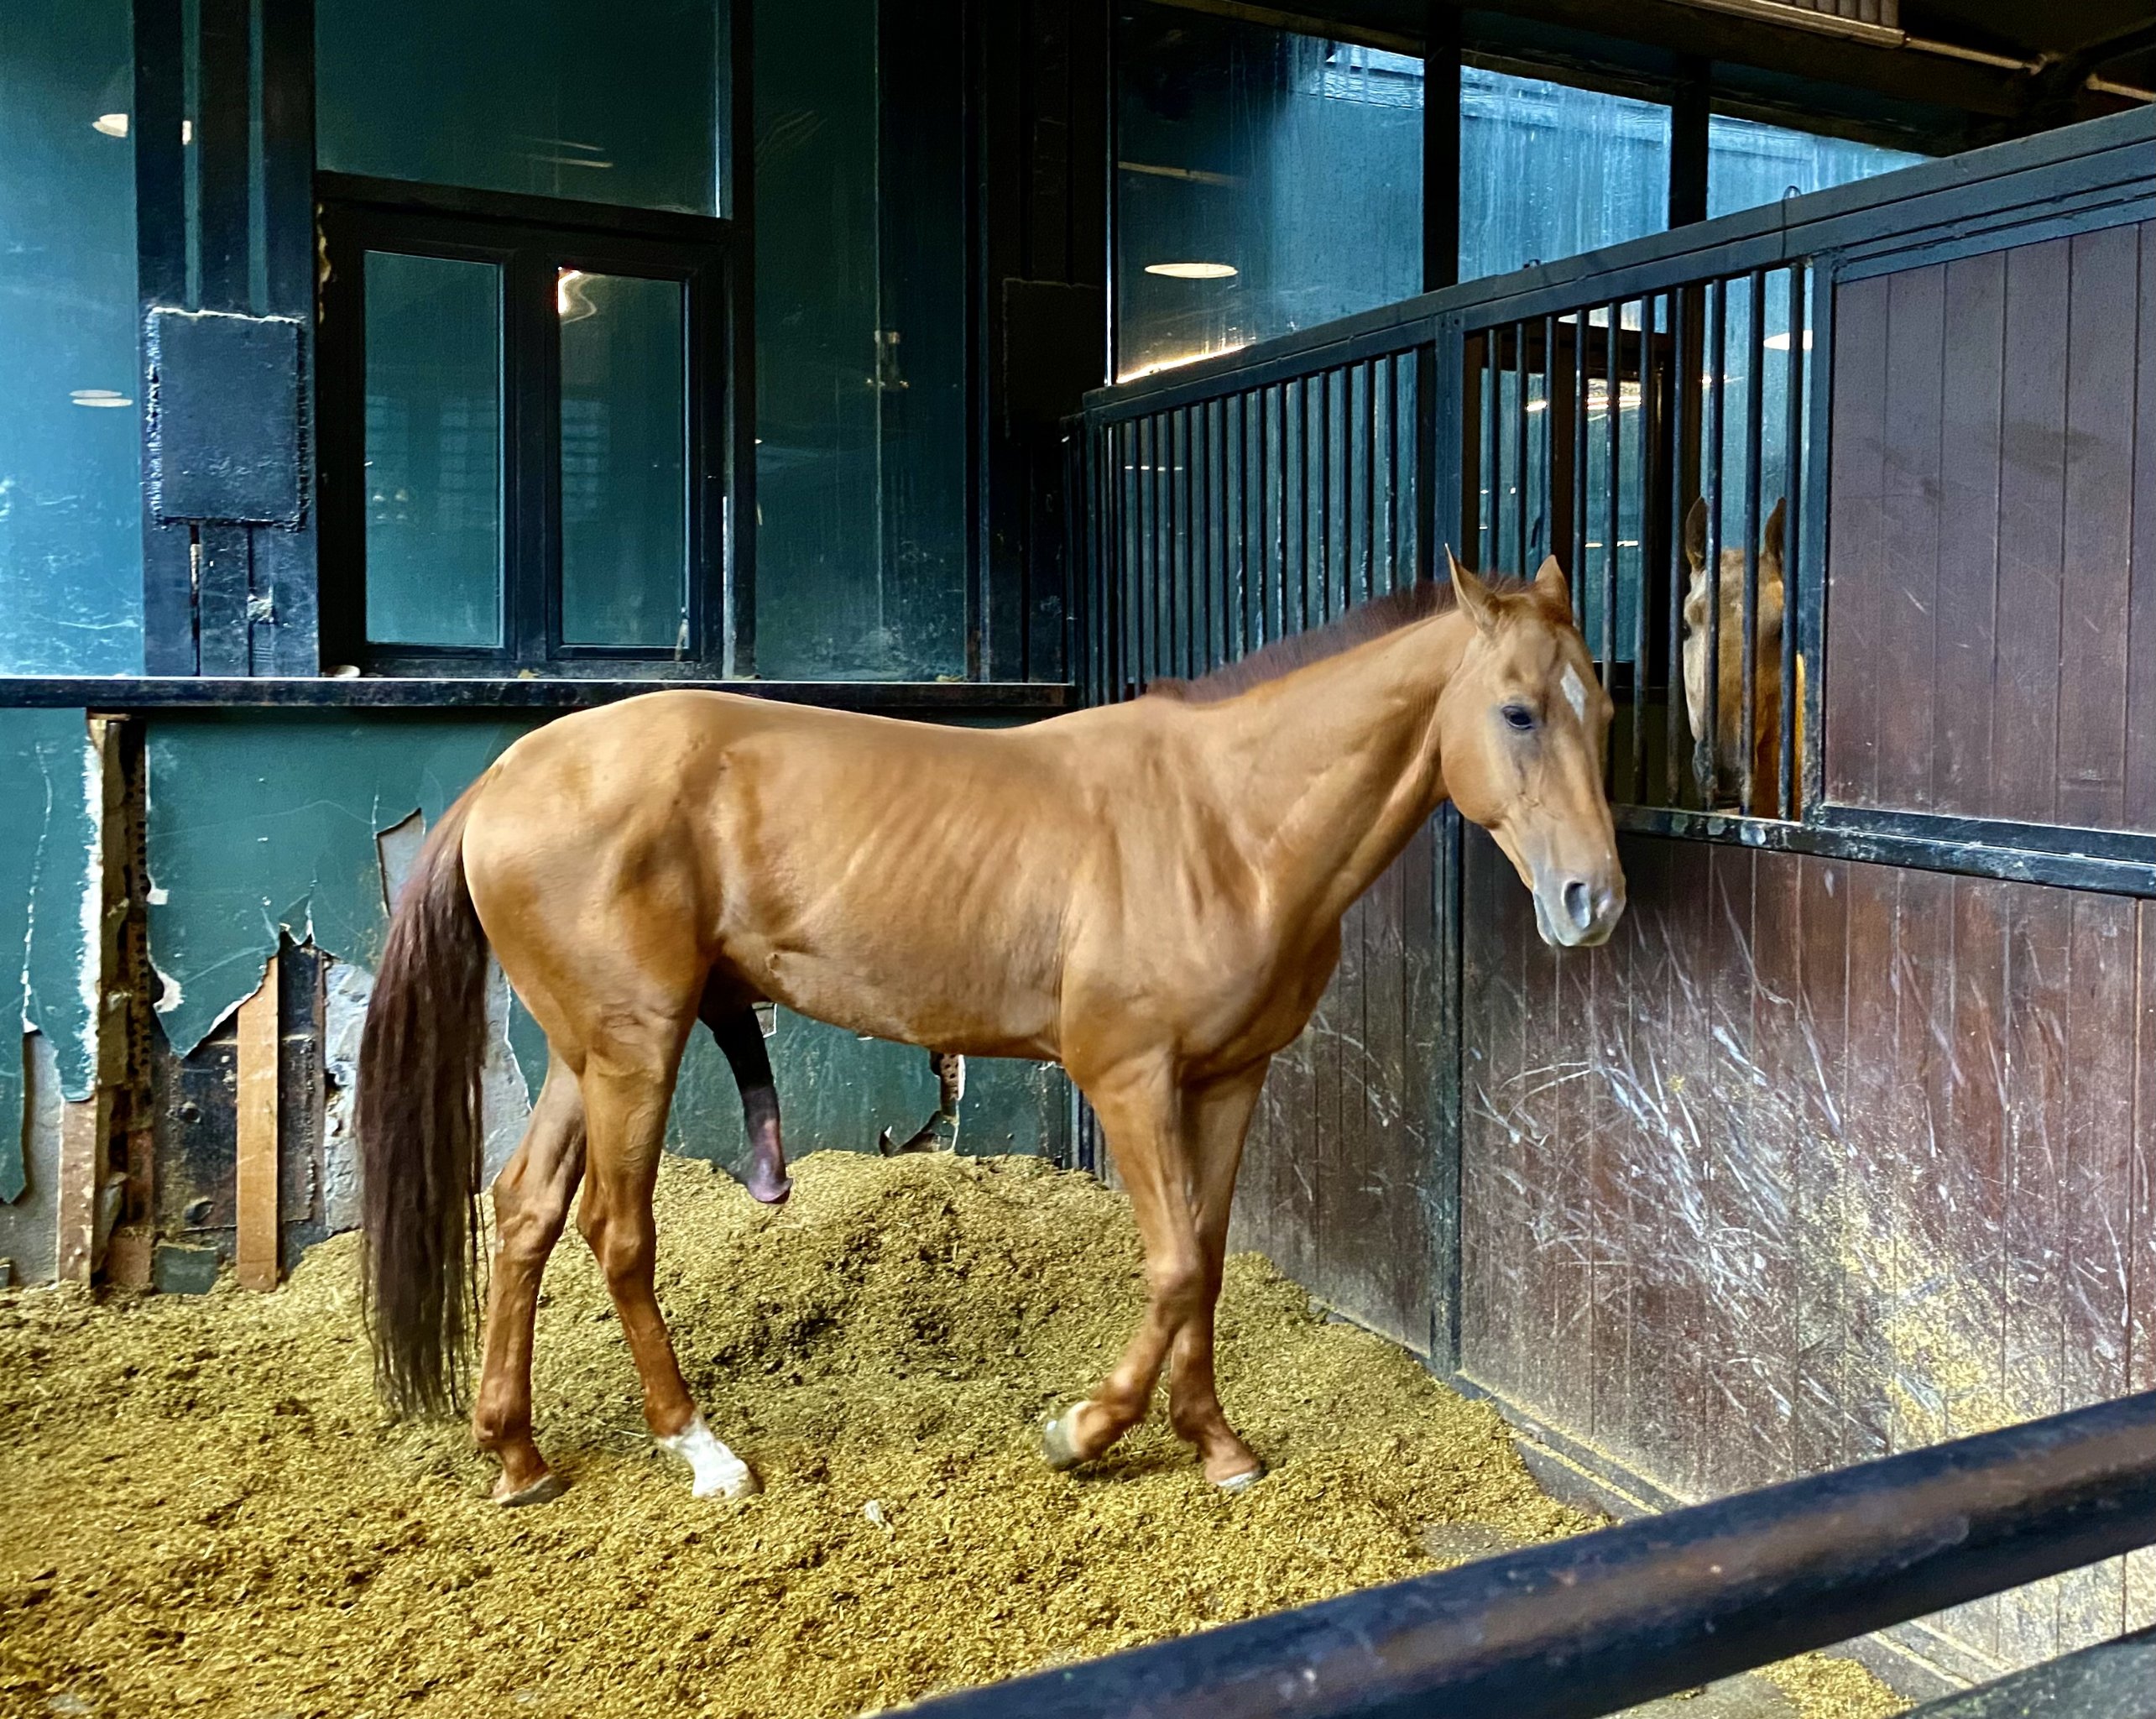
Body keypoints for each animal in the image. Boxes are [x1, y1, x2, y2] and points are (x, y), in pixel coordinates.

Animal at [362, 551, 1621, 1501]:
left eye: (1600, 707)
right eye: (1515, 710)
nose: (1592, 901)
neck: (1224, 823)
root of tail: (512, 771)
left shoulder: (1229, 1079)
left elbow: (1207, 1262)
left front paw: (1215, 1442)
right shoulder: (1127, 1077)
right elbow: (1172, 1265)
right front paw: (1086, 1429)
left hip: (587, 1053)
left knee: (526, 1209)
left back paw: (517, 1453)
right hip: (637, 1049)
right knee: (617, 1232)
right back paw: (699, 1446)